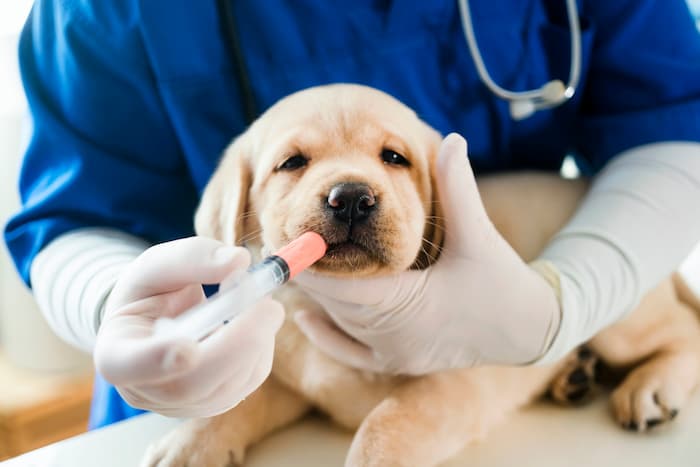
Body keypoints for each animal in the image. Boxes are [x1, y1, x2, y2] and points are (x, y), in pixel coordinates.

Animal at [142, 85, 700, 467]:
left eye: (394, 158)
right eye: (292, 163)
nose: (351, 197)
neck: (334, 309)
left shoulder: (456, 379)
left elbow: (384, 424)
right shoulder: (295, 377)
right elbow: (241, 399)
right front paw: (190, 443)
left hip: (625, 323)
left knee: (682, 331)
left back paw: (650, 386)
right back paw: (573, 376)